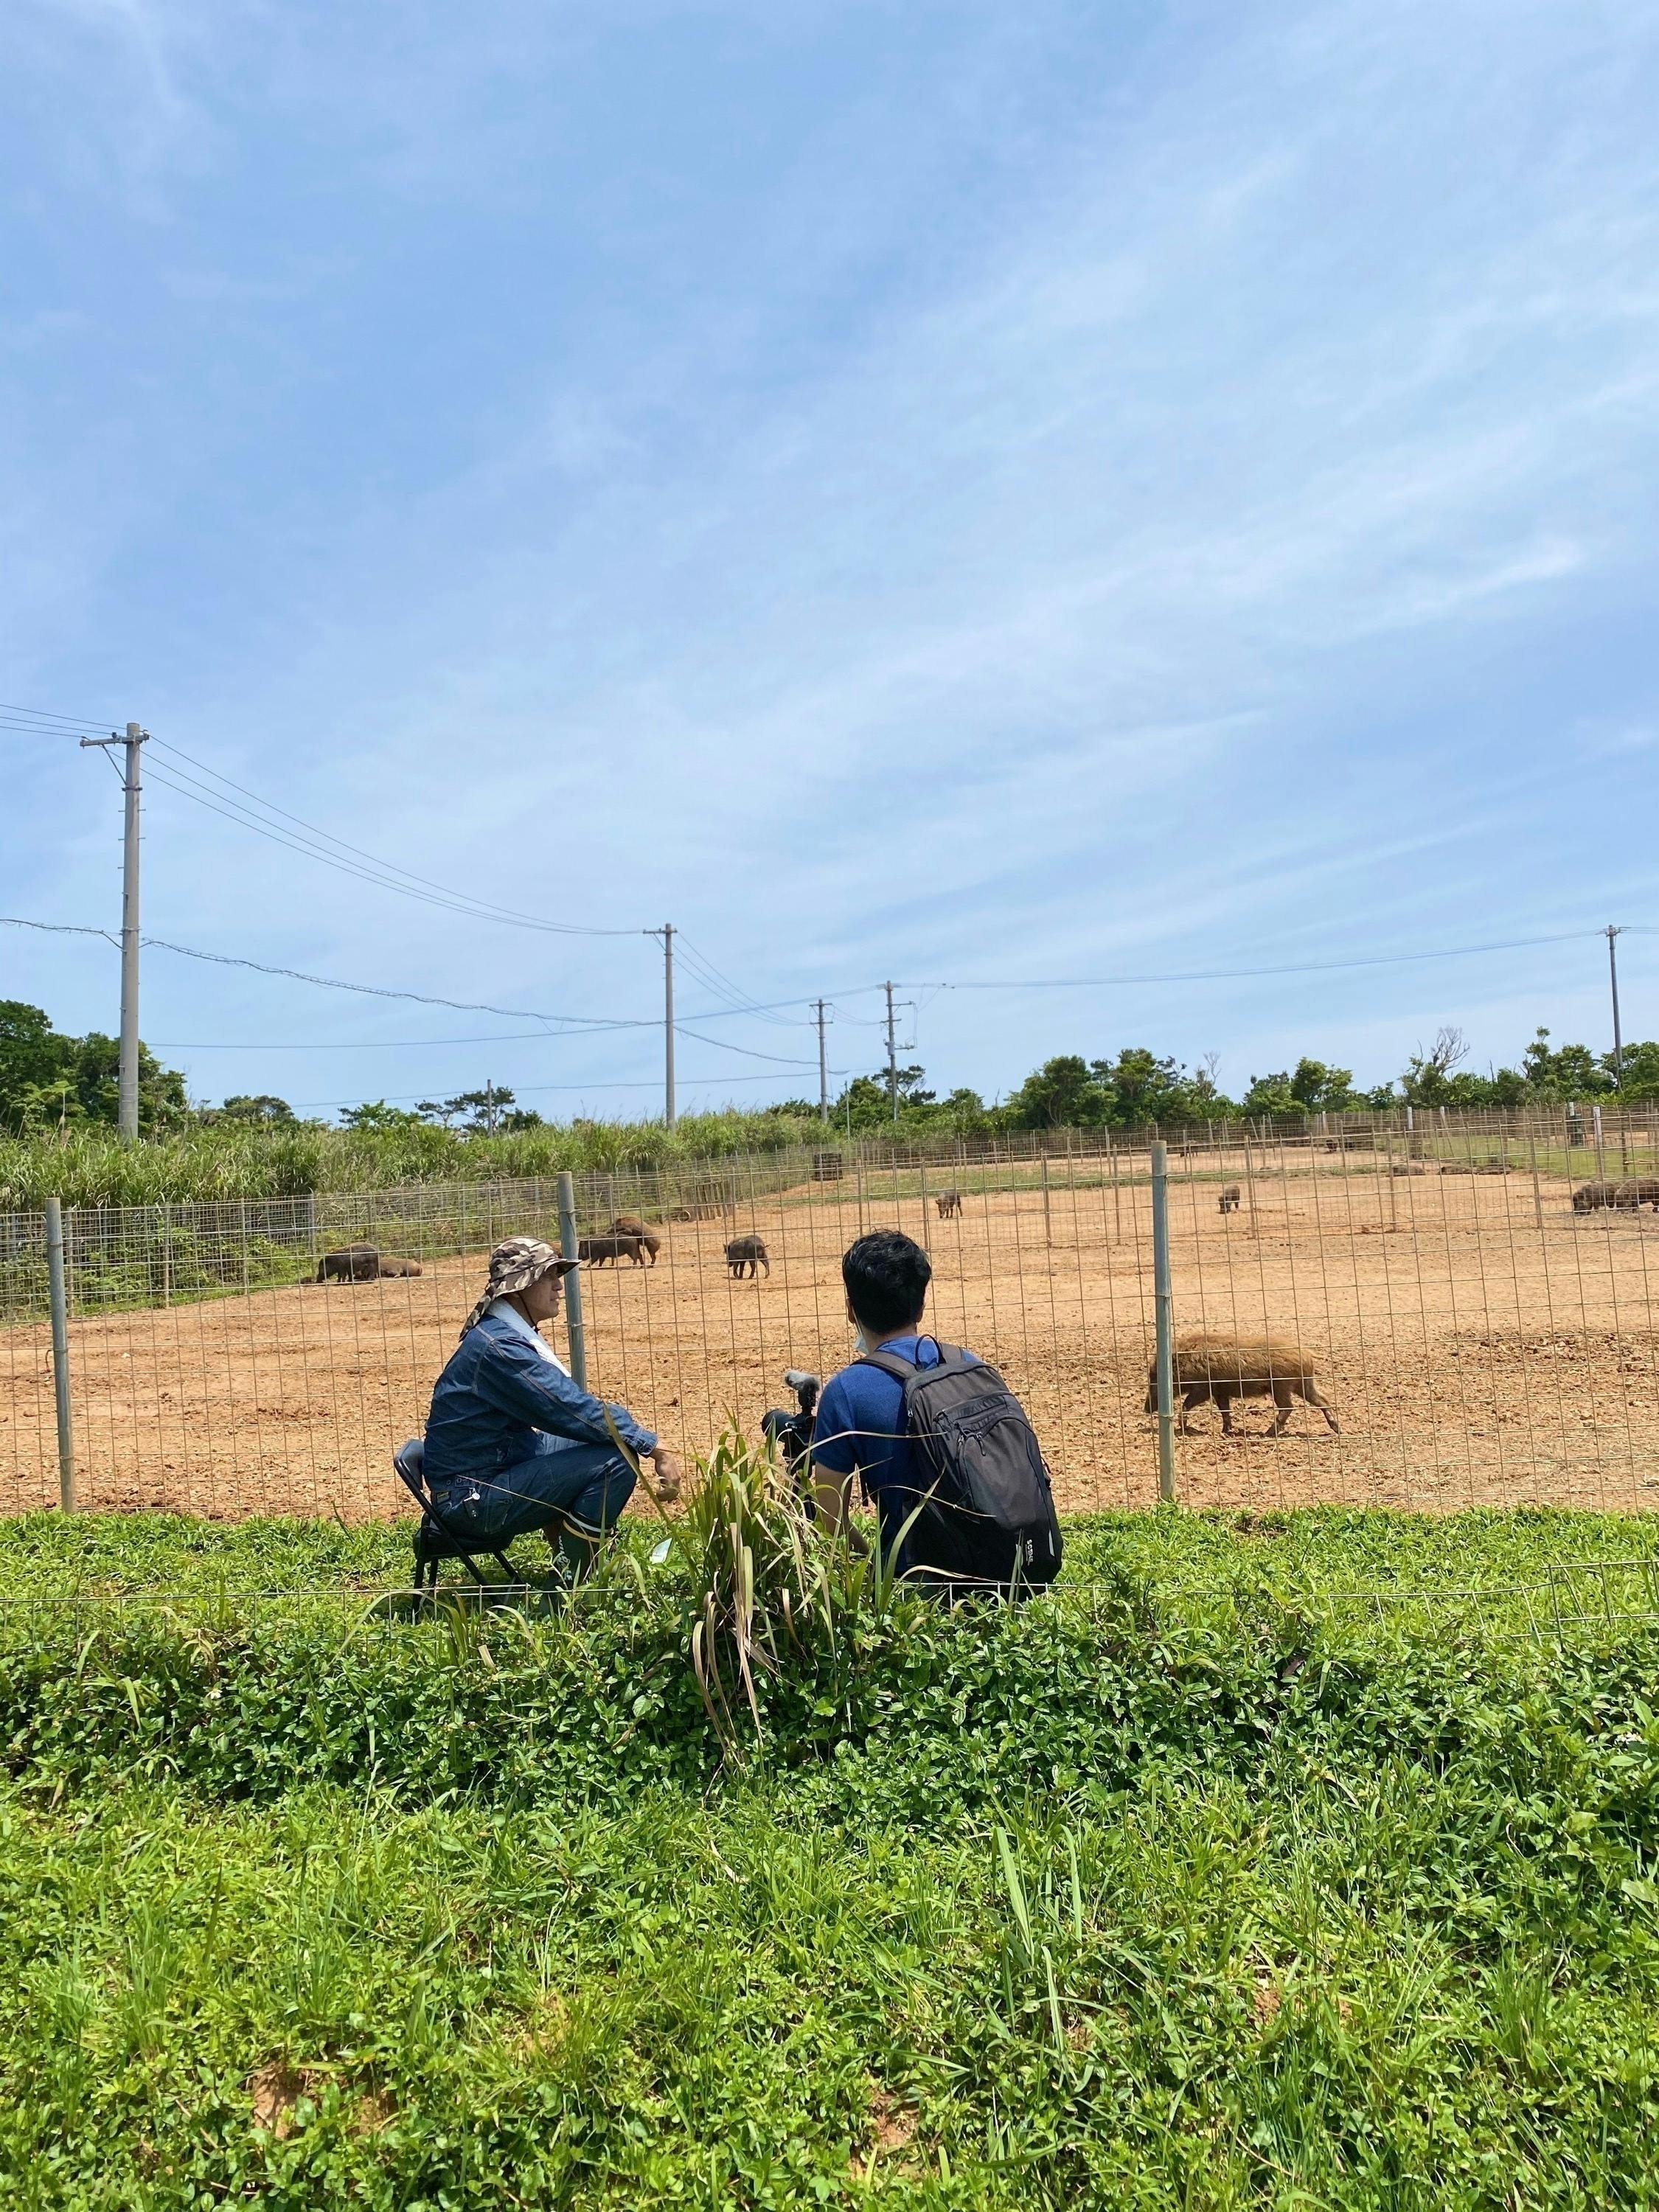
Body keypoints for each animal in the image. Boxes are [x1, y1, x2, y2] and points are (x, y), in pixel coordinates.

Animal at [1150, 1336, 1345, 1442]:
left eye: (1154, 1376)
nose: (1147, 1408)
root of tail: (1307, 1353)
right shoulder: (1220, 1392)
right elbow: (1225, 1411)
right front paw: (1226, 1432)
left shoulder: (1204, 1388)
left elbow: (1187, 1404)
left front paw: (1184, 1428)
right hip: (1303, 1384)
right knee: (1323, 1400)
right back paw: (1339, 1430)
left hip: (1281, 1385)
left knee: (1288, 1407)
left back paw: (1266, 1434)